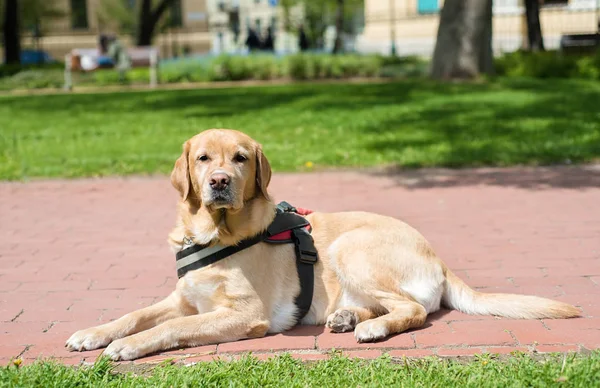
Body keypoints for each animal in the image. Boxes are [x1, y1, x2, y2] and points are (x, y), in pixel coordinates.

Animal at [63, 130, 580, 360]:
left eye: (240, 158)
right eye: (204, 158)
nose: (219, 182)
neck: (215, 233)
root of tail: (439, 256)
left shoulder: (244, 315)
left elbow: (170, 329)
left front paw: (128, 346)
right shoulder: (184, 298)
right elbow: (135, 314)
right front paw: (94, 332)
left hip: (350, 247)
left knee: (413, 310)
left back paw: (371, 327)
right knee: (391, 304)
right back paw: (347, 316)